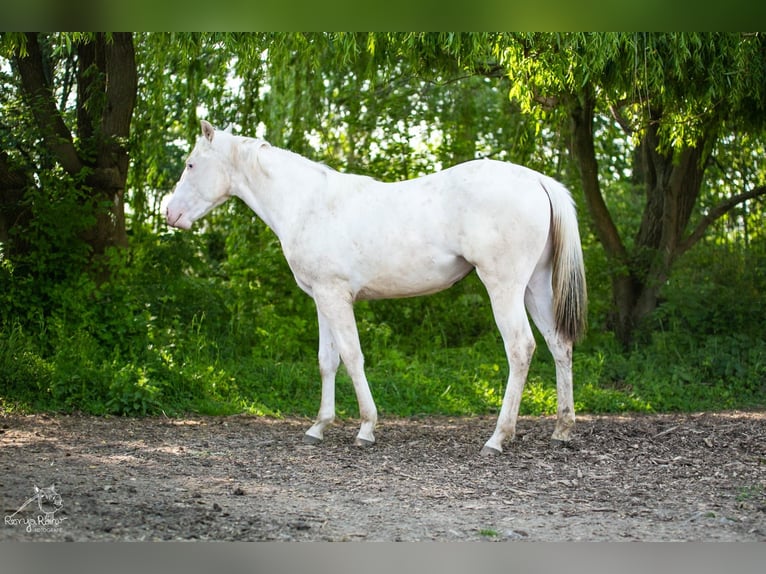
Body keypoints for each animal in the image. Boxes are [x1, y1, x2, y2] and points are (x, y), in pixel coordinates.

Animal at [168, 120, 588, 454]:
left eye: (190, 164)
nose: (169, 213)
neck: (307, 204)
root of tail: (537, 179)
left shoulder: (337, 297)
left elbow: (352, 358)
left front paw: (366, 428)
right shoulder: (322, 299)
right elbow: (327, 361)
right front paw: (319, 426)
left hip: (504, 288)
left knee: (521, 348)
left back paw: (499, 437)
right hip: (535, 288)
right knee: (559, 344)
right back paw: (562, 429)